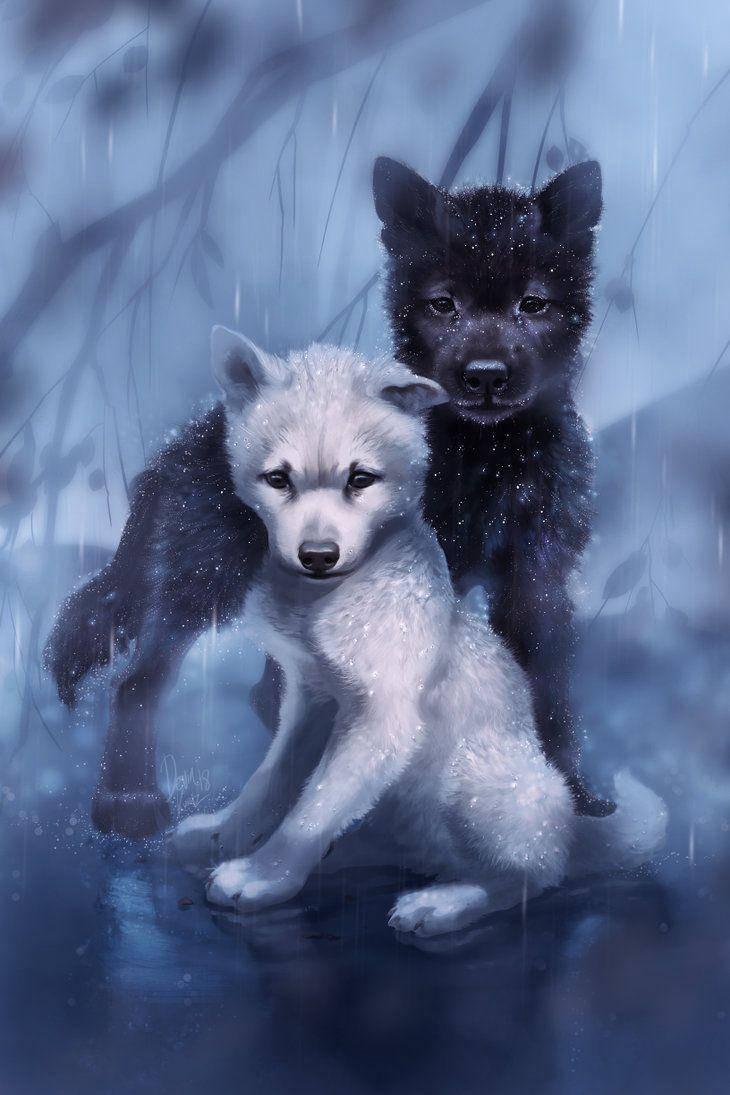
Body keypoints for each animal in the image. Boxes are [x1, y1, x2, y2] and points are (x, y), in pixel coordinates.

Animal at [170, 332, 665, 937]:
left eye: (360, 479)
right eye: (278, 479)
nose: (318, 556)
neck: (323, 603)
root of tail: (572, 828)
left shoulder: (382, 717)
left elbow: (312, 809)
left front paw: (264, 877)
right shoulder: (310, 702)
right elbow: (273, 783)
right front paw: (223, 834)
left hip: (474, 781)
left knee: (528, 878)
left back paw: (443, 902)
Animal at [372, 156, 611, 816]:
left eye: (532, 303)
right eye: (443, 304)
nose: (484, 375)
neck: (488, 460)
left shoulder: (536, 580)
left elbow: (546, 691)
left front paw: (569, 790)